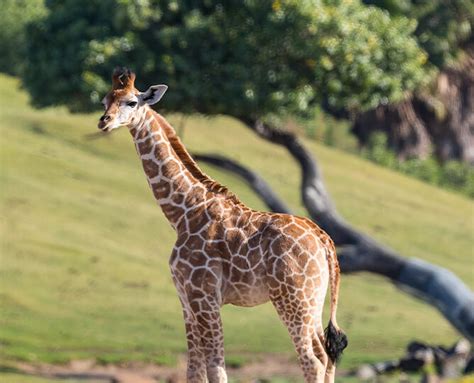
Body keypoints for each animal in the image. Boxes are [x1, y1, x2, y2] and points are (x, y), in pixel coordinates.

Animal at [97, 69, 348, 383]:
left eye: (131, 101)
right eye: (105, 99)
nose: (104, 121)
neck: (183, 212)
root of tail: (325, 241)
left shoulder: (204, 295)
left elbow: (216, 369)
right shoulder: (186, 299)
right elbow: (195, 370)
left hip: (293, 298)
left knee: (313, 360)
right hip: (313, 300)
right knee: (327, 355)